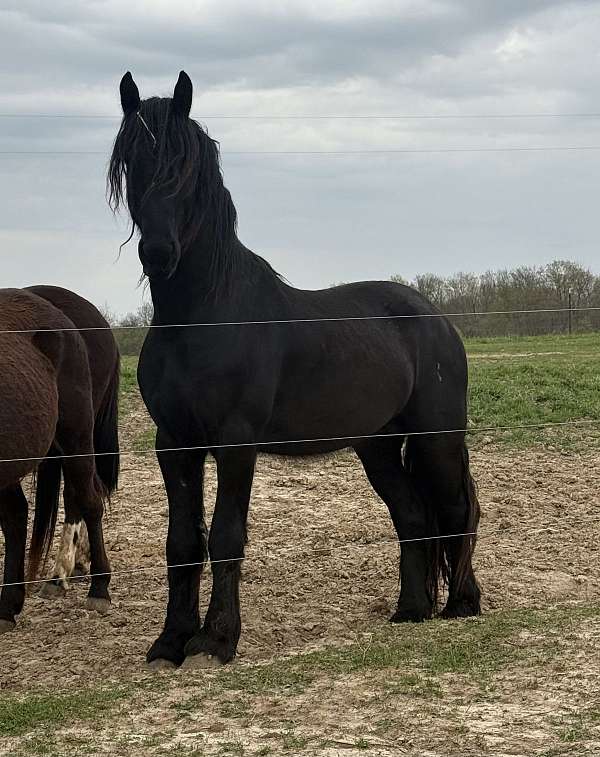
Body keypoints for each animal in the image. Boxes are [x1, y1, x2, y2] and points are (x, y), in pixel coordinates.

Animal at [108, 71, 481, 670]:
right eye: (134, 163)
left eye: (186, 168)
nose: (158, 253)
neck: (202, 316)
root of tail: (437, 318)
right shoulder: (175, 442)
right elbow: (183, 542)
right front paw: (170, 641)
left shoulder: (235, 442)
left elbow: (226, 535)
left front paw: (216, 642)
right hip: (377, 446)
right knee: (412, 517)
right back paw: (410, 610)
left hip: (437, 436)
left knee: (454, 510)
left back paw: (462, 606)